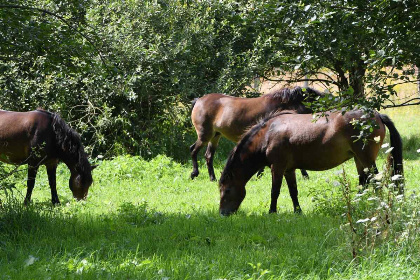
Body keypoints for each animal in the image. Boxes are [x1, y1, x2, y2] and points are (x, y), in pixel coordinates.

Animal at [190, 86, 324, 180]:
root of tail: (199, 100)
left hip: (215, 136)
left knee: (208, 156)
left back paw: (212, 178)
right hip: (205, 135)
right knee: (194, 150)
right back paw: (194, 174)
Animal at [218, 110, 402, 215]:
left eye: (227, 191)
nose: (222, 213)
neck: (267, 134)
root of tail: (377, 116)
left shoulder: (277, 168)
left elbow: (274, 191)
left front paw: (272, 212)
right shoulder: (288, 169)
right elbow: (293, 191)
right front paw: (298, 212)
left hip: (366, 158)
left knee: (375, 182)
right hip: (359, 159)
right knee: (363, 182)